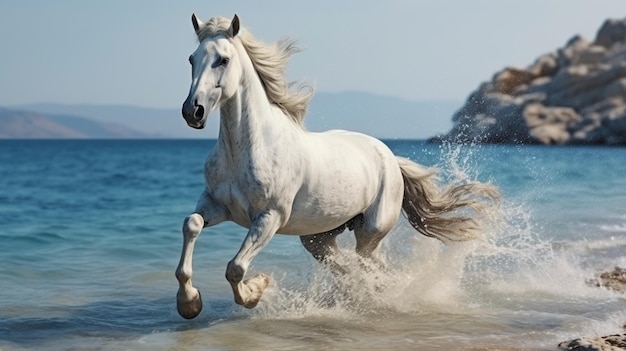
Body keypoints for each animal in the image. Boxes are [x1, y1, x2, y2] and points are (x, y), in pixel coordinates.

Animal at [174, 13, 498, 320]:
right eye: (191, 58)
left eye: (223, 59)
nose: (193, 111)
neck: (247, 149)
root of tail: (391, 158)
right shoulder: (217, 205)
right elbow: (191, 225)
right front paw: (189, 303)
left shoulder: (269, 217)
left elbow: (236, 268)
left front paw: (257, 289)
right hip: (319, 238)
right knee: (348, 267)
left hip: (370, 232)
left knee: (370, 266)